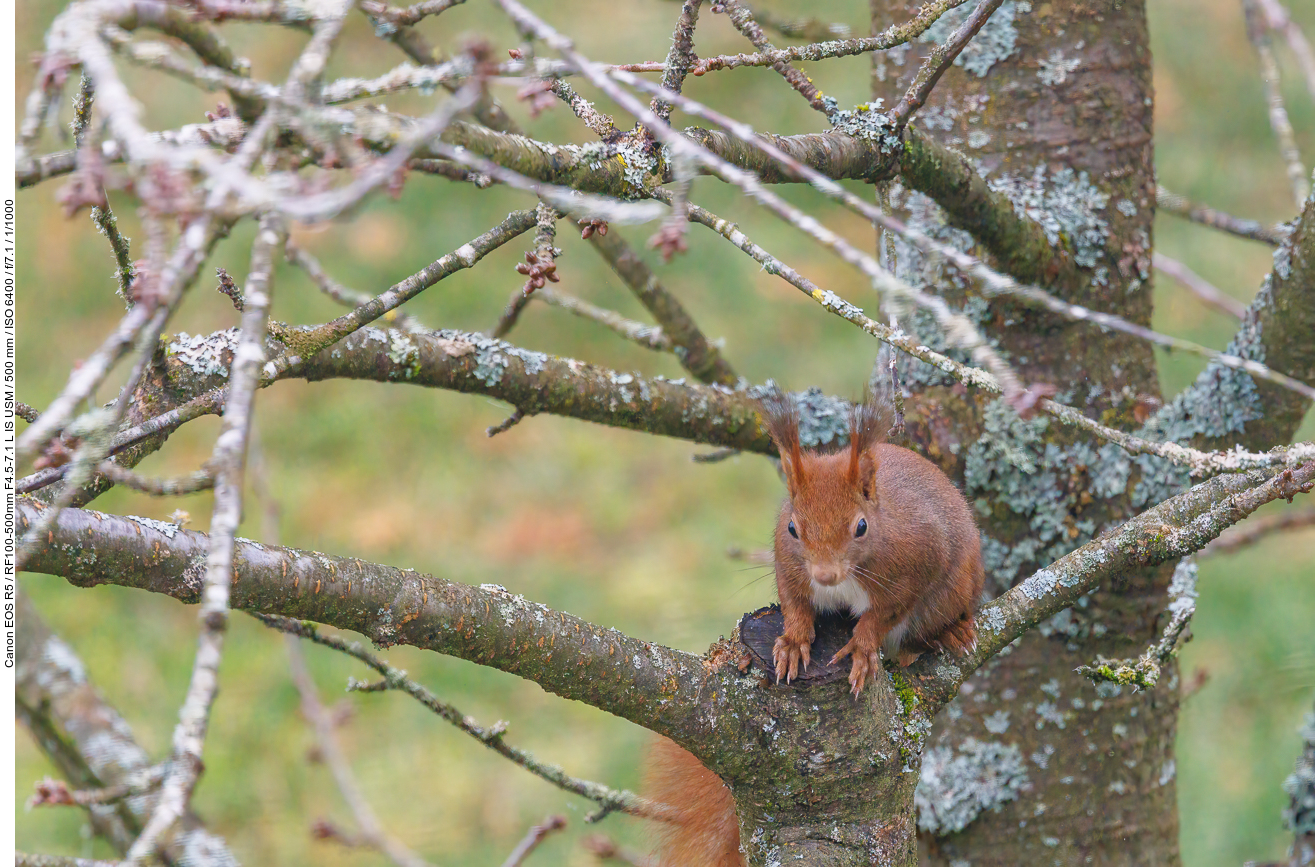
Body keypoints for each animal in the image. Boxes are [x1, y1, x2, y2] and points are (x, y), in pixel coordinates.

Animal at [641, 394, 983, 867]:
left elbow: (882, 615)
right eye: (792, 528)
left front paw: (861, 649)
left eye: (860, 526)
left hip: (957, 587)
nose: (824, 574)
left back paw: (951, 634)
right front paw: (792, 643)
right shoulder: (788, 566)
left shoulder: (917, 564)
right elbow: (796, 605)